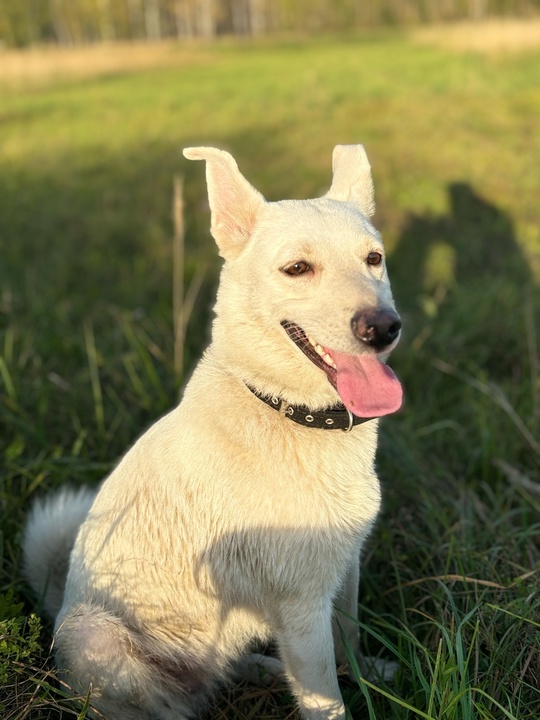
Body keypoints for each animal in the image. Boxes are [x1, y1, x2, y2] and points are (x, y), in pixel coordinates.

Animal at [24, 143, 400, 716]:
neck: (285, 410)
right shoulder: (301, 605)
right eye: (297, 268)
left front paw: (370, 676)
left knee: (224, 673)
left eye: (373, 259)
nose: (382, 328)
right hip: (95, 634)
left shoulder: (343, 570)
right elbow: (326, 696)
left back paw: (265, 670)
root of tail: (58, 601)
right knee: (160, 704)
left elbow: (350, 641)